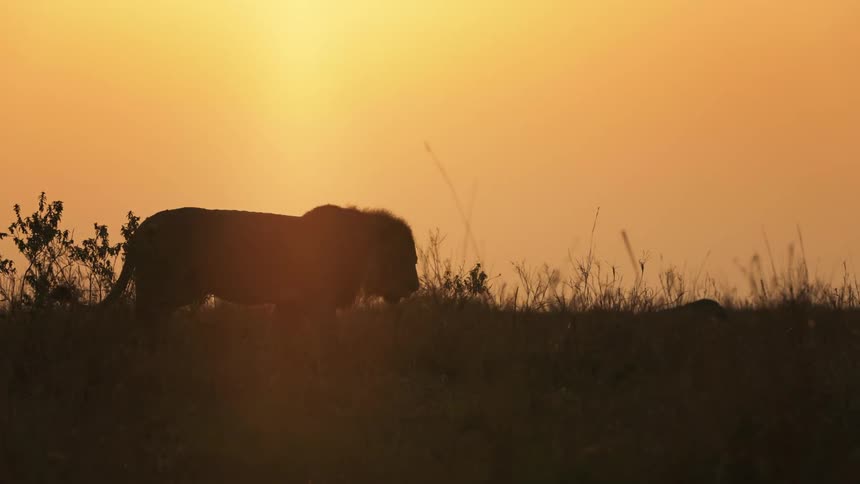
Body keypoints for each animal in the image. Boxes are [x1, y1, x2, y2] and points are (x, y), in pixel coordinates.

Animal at [101, 205, 420, 319]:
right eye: (407, 258)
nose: (416, 286)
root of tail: (143, 228)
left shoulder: (290, 305)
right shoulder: (319, 304)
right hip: (164, 288)